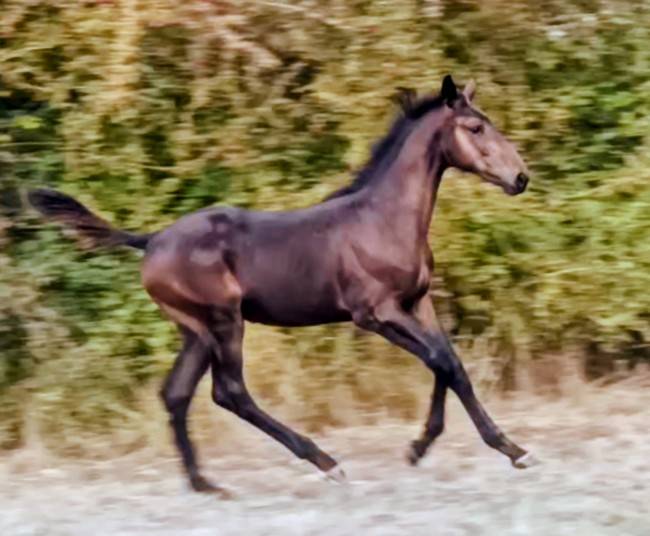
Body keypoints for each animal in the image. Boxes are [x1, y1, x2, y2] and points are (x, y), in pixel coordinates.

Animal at [29, 75, 536, 496]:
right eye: (475, 127)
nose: (520, 177)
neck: (383, 219)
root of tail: (151, 240)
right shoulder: (375, 313)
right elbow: (440, 362)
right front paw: (498, 448)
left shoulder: (419, 302)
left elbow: (449, 363)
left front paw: (439, 446)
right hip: (224, 321)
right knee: (229, 392)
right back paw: (325, 462)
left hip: (195, 330)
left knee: (176, 393)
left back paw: (204, 484)